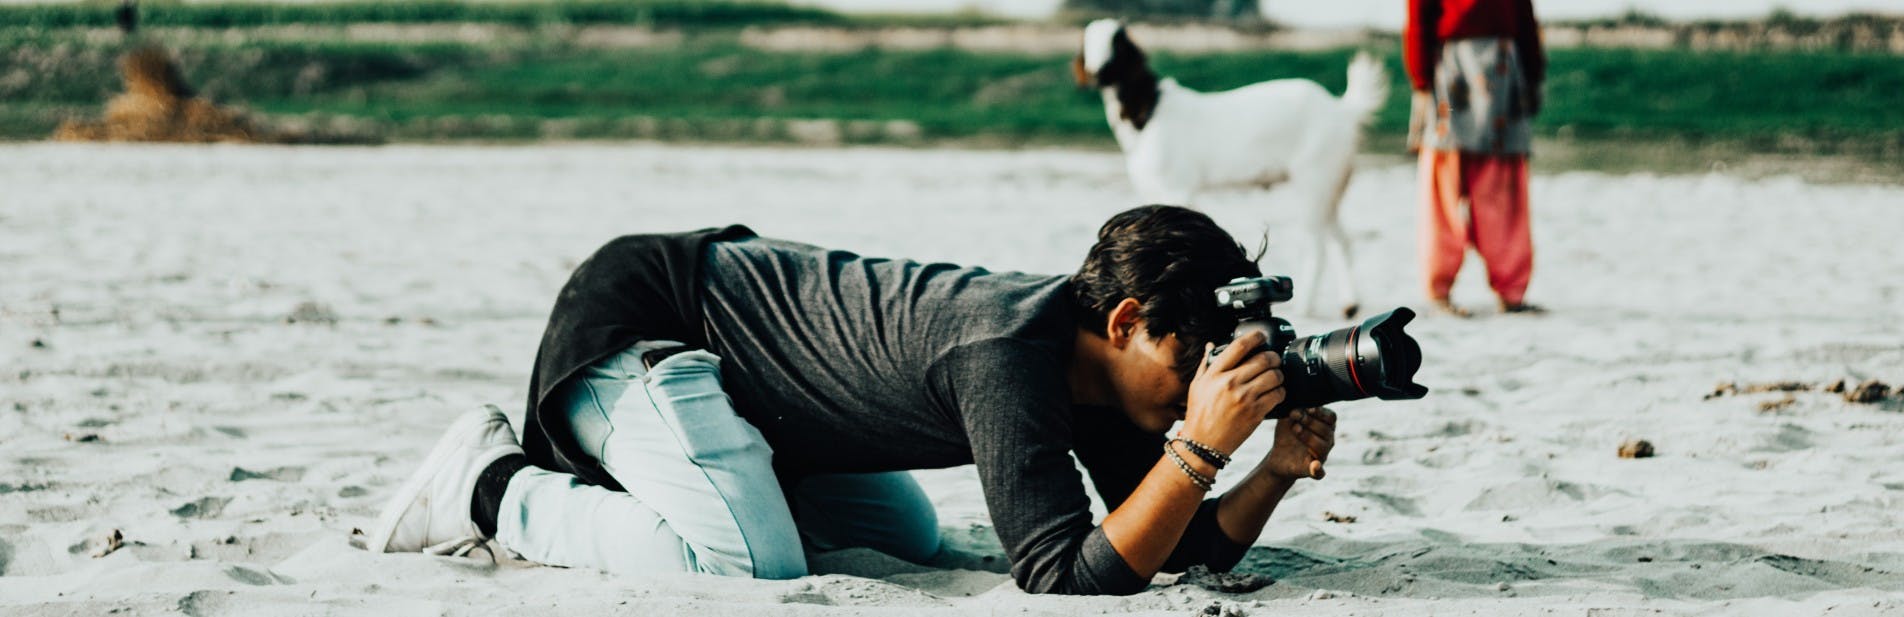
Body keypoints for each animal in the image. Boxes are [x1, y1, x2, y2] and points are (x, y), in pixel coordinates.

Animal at [1073, 19, 1386, 318]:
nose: (1097, 72)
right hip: (1333, 182)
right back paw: (1350, 305)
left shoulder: (1178, 186)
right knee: (1340, 240)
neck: (1149, 112)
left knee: (1317, 244)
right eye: (1087, 42)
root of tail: (1342, 109)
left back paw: (1305, 306)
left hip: (1313, 179)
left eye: (1117, 42)